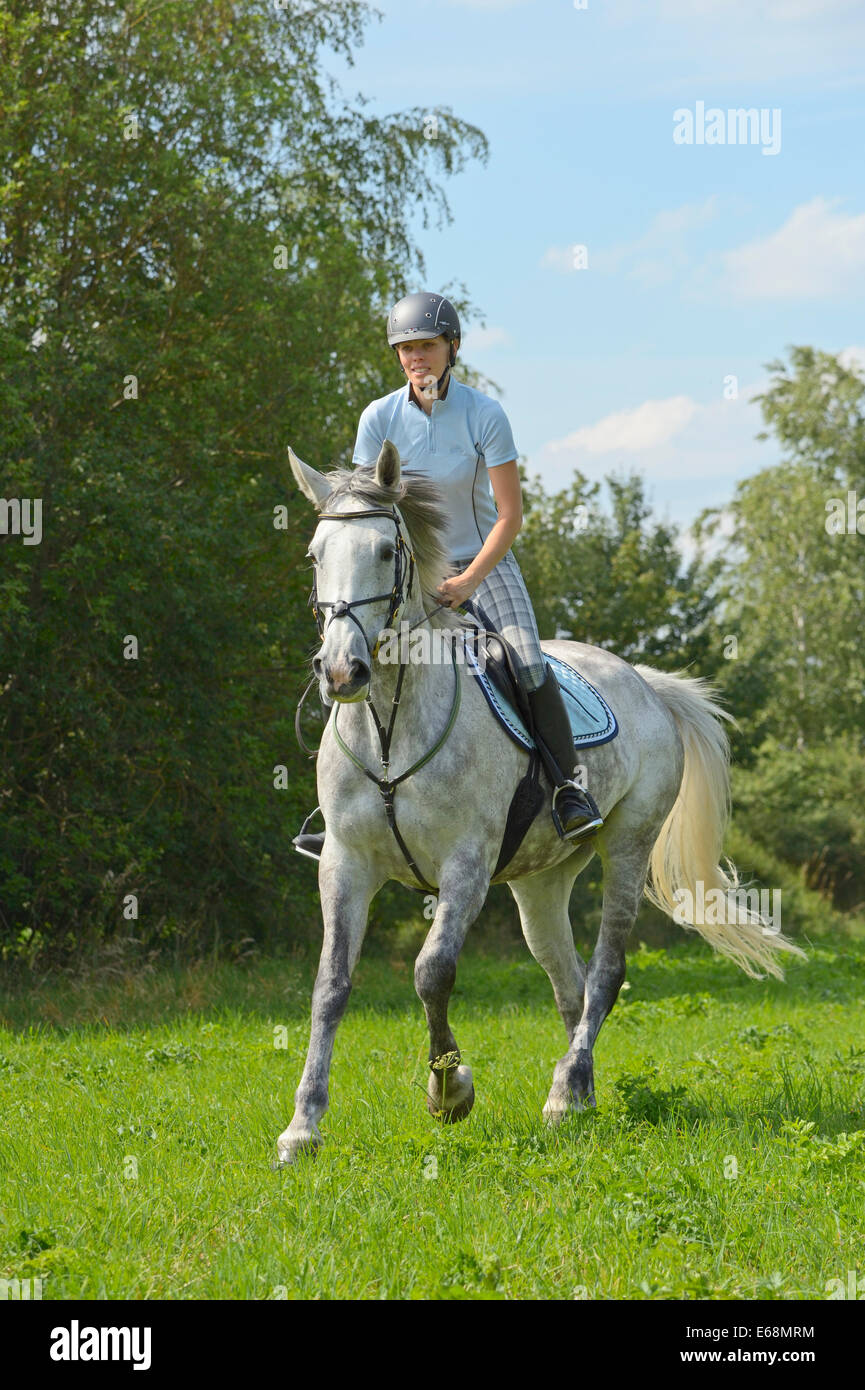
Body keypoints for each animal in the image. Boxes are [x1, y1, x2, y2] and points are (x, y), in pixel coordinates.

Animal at [278, 440, 805, 1165]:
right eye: (313, 554)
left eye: (386, 551)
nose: (340, 672)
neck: (388, 730)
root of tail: (646, 682)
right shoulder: (344, 865)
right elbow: (330, 986)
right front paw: (303, 1126)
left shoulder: (465, 867)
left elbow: (432, 972)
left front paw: (450, 1091)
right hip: (540, 882)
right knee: (570, 983)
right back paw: (579, 1091)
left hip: (628, 845)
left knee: (605, 972)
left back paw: (565, 1093)